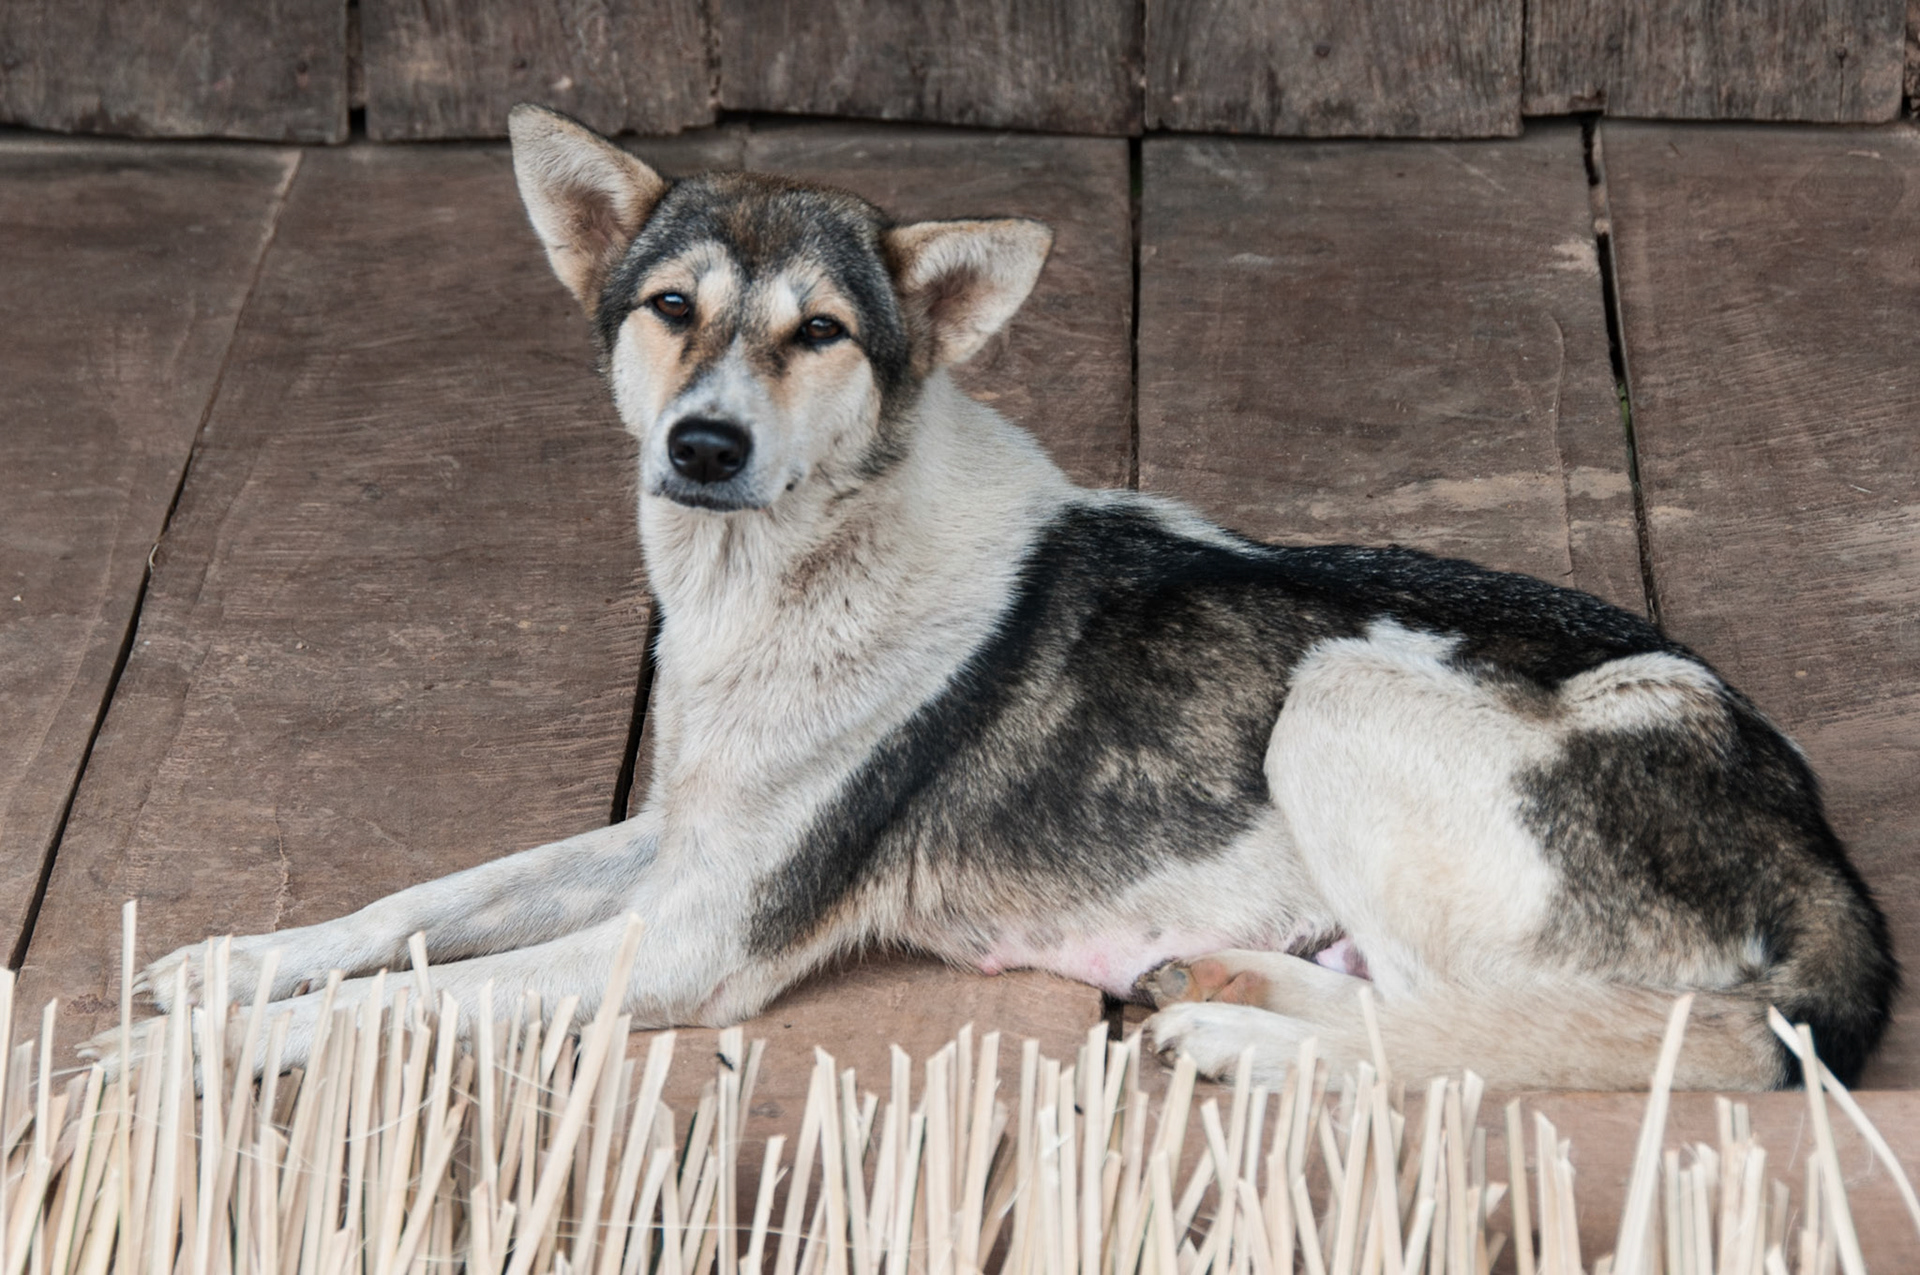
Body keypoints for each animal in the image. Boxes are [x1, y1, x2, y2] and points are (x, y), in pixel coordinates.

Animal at [103, 104, 1896, 1092]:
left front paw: (182, 1055)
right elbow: (432, 901)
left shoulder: (698, 935)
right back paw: (1228, 990)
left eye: (824, 333)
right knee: (1482, 1003)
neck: (782, 584)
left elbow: (422, 1000)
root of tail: (1815, 834)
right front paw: (237, 960)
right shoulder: (680, 839)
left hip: (1334, 695)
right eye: (670, 308)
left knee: (1607, 1031)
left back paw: (1255, 1042)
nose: (701, 445)